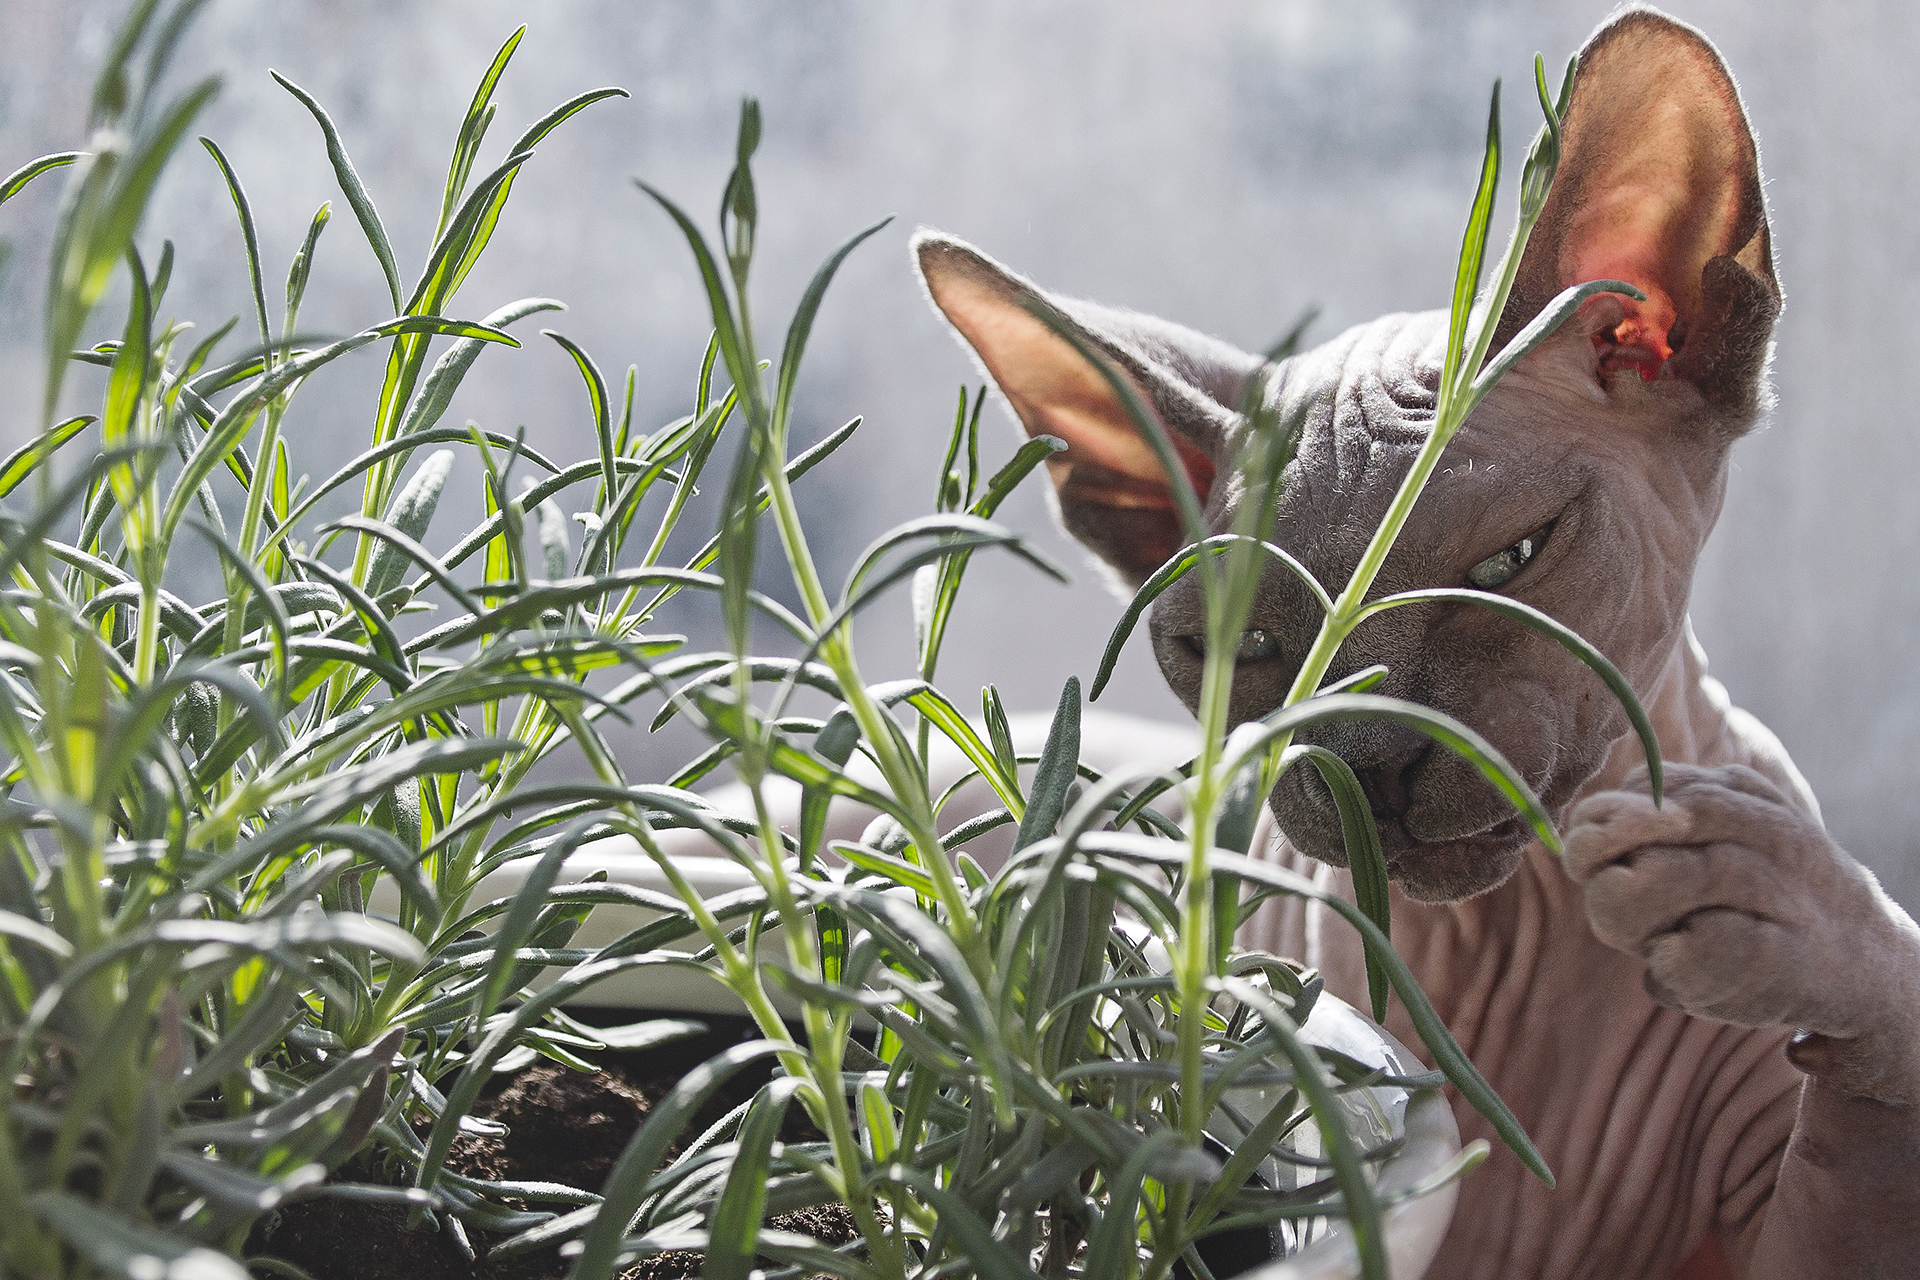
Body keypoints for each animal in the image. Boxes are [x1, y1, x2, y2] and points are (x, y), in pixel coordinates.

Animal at [894, 10, 1920, 1280]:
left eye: (1513, 558)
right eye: (1233, 643)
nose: (1370, 762)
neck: (1532, 946)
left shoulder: (1793, 1226)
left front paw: (1773, 902)